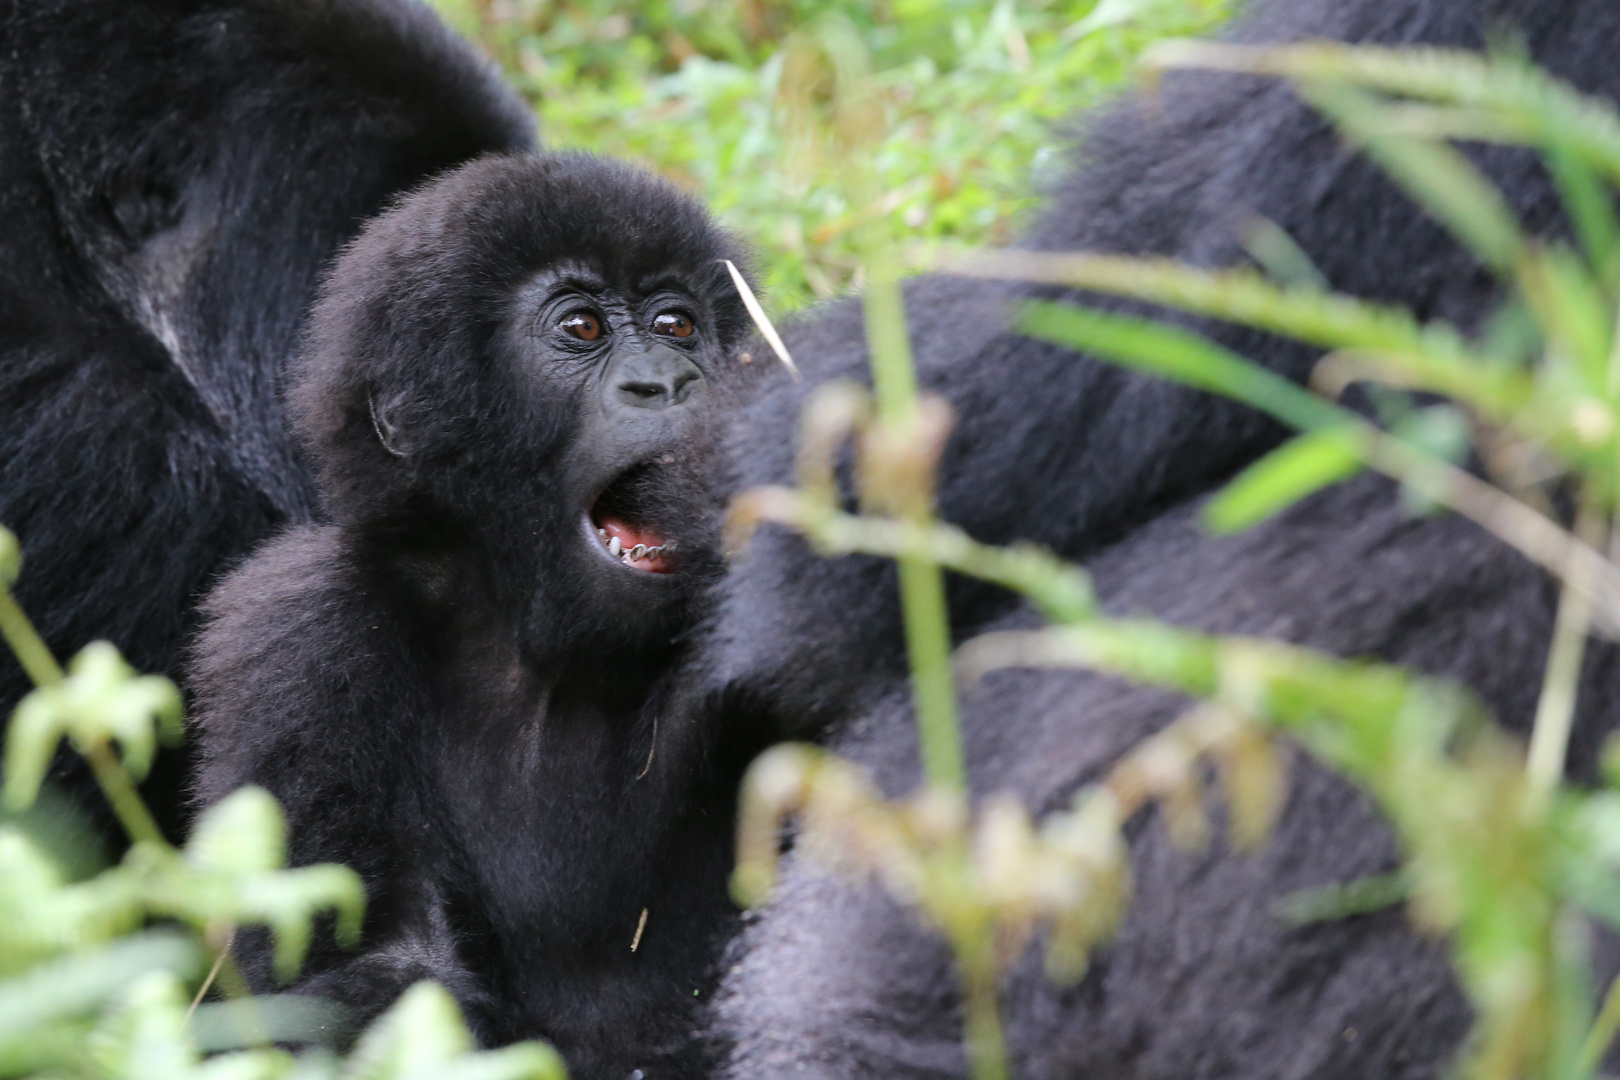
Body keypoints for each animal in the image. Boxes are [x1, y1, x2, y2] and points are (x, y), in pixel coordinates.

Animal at [186, 153, 754, 1080]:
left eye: (677, 324)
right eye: (583, 328)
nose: (671, 382)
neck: (532, 632)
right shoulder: (297, 626)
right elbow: (368, 970)